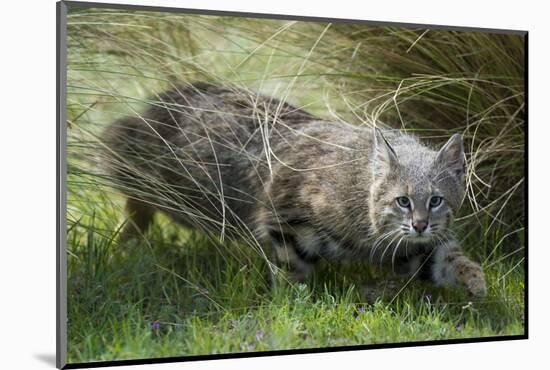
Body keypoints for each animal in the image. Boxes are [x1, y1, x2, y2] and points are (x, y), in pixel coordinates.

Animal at [102, 82, 488, 296]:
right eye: (403, 201)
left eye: (436, 201)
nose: (421, 224)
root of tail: (167, 95)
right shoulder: (282, 215)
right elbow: (291, 270)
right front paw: (292, 305)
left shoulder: (409, 249)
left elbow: (450, 259)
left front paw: (476, 281)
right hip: (168, 182)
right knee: (126, 173)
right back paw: (128, 237)